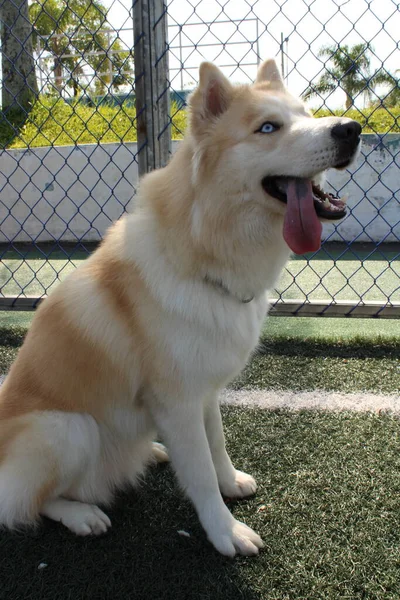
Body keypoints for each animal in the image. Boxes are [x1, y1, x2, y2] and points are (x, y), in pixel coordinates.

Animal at [0, 59, 362, 556]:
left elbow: (217, 447)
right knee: (29, 504)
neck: (201, 254)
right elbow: (201, 474)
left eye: (306, 114)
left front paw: (232, 484)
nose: (351, 129)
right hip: (67, 429)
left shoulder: (204, 392)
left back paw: (151, 452)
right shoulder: (178, 401)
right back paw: (83, 514)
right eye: (268, 128)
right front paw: (226, 532)